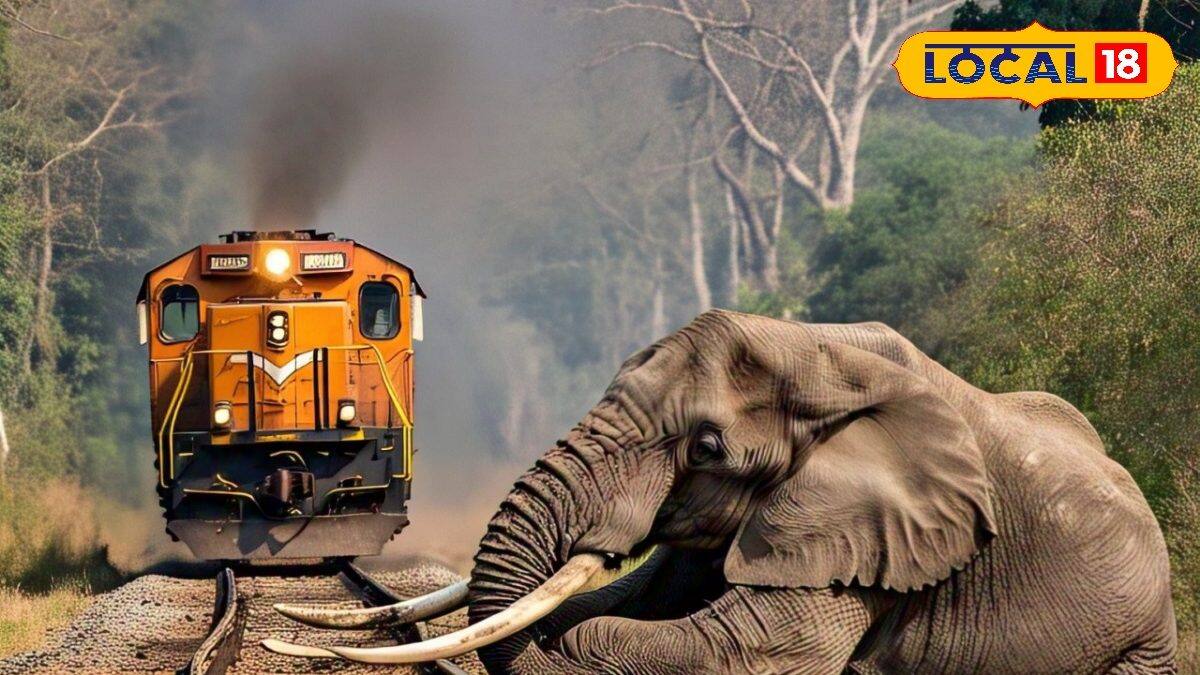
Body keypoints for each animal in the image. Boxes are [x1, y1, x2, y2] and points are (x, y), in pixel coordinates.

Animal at [269, 310, 1177, 673]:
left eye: (705, 447)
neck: (819, 353)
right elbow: (633, 604)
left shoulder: (855, 543)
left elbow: (733, 648)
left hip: (1138, 637)